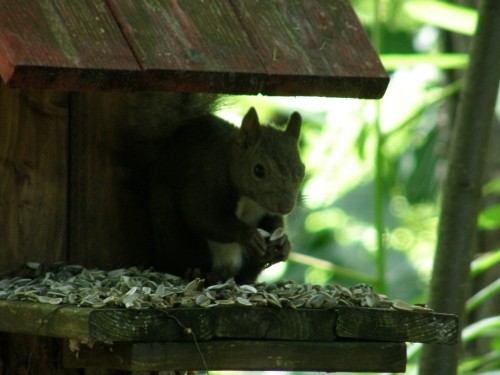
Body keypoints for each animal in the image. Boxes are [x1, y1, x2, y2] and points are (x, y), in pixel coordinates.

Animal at [120, 94, 304, 284]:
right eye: (258, 170)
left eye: (302, 170)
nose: (286, 207)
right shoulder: (206, 182)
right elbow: (203, 216)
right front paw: (249, 235)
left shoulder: (266, 210)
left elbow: (274, 222)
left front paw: (284, 244)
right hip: (173, 228)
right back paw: (195, 272)